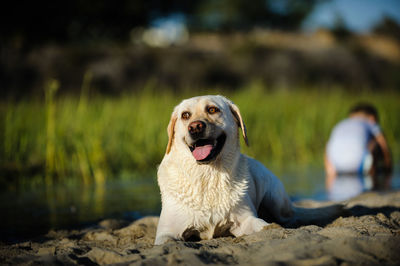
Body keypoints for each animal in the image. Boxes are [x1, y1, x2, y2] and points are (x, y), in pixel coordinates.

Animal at [155, 95, 340, 245]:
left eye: (212, 109)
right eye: (185, 115)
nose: (195, 127)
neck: (207, 175)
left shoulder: (245, 219)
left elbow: (265, 226)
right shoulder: (167, 232)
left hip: (275, 198)